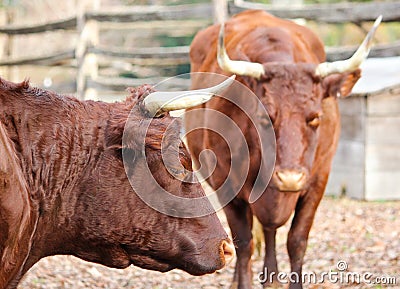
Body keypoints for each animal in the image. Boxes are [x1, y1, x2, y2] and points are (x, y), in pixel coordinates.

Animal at [184, 9, 382, 288]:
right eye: (265, 117)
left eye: (315, 118)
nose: (290, 178)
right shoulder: (227, 185)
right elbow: (243, 242)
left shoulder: (318, 181)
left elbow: (296, 241)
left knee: (270, 230)